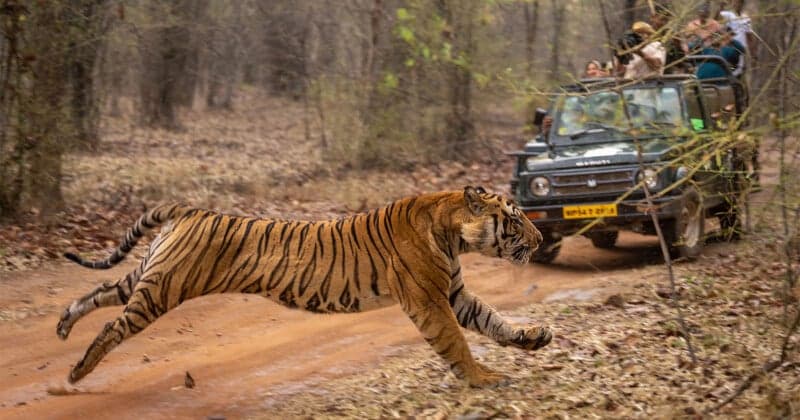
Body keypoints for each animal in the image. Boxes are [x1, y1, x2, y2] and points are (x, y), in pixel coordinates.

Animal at [57, 186, 552, 388]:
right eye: (515, 219)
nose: (539, 239)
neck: (451, 231)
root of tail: (188, 210)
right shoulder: (431, 301)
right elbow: (457, 343)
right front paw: (484, 379)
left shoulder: (453, 292)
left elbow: (492, 320)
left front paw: (534, 337)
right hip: (162, 289)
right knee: (112, 328)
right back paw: (76, 372)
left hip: (148, 275)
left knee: (98, 293)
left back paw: (63, 325)